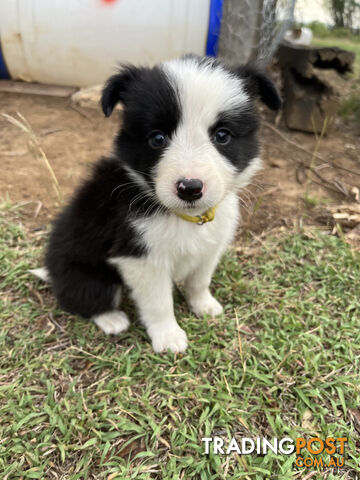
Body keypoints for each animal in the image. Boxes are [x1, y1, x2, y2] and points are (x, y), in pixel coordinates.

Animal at [44, 58, 282, 354]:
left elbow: (199, 280)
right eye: (157, 138)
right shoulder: (141, 257)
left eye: (222, 135)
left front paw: (204, 305)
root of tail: (52, 274)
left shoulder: (211, 246)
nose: (190, 188)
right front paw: (168, 337)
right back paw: (112, 319)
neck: (187, 218)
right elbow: (159, 302)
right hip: (90, 276)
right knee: (84, 299)